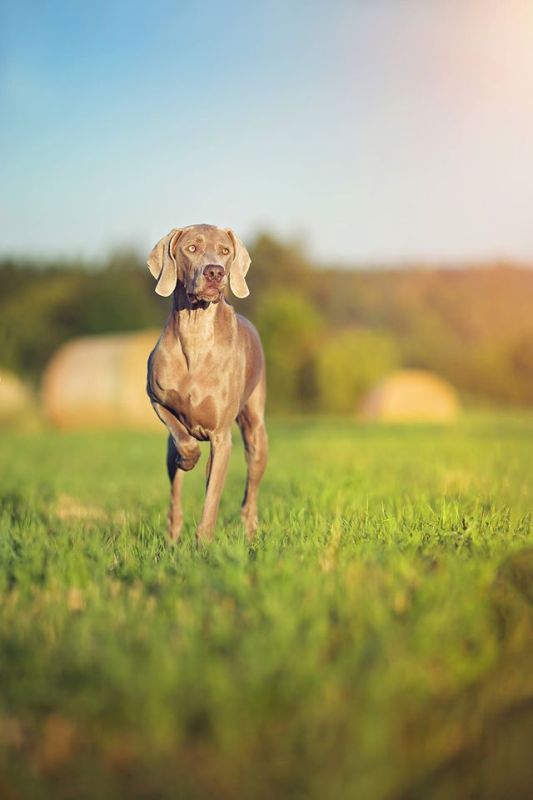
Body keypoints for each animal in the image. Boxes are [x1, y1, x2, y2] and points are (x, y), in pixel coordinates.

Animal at [145, 225, 268, 544]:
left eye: (225, 251)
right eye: (191, 248)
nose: (215, 272)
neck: (196, 331)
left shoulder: (222, 437)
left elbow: (212, 498)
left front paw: (204, 543)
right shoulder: (155, 397)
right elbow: (182, 436)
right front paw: (189, 457)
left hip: (256, 432)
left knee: (250, 493)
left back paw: (250, 530)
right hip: (168, 455)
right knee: (175, 491)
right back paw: (173, 535)